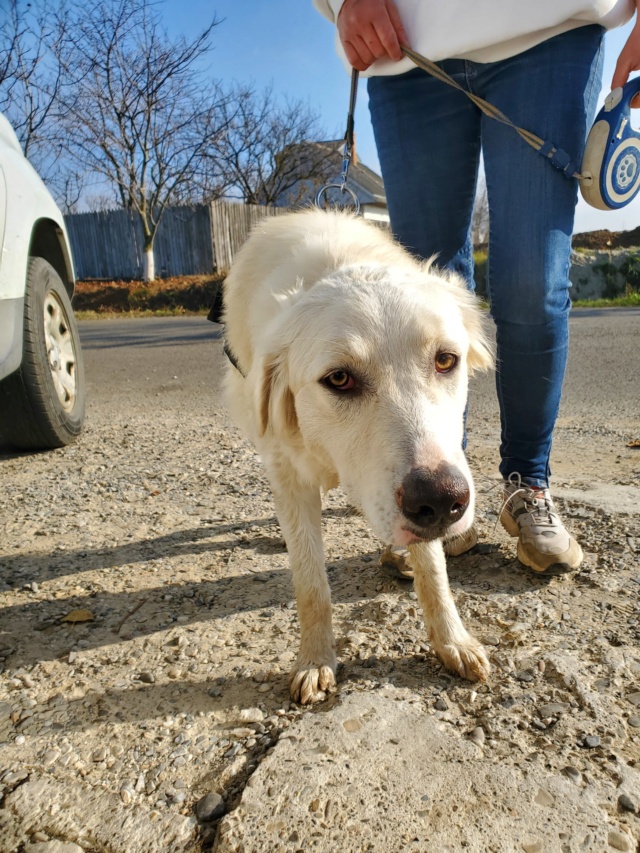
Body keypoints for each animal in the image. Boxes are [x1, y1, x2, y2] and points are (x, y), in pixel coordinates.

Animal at [224, 210, 496, 704]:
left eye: (446, 360)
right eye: (339, 379)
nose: (442, 501)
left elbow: (433, 571)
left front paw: (452, 640)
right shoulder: (288, 475)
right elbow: (311, 583)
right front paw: (314, 659)